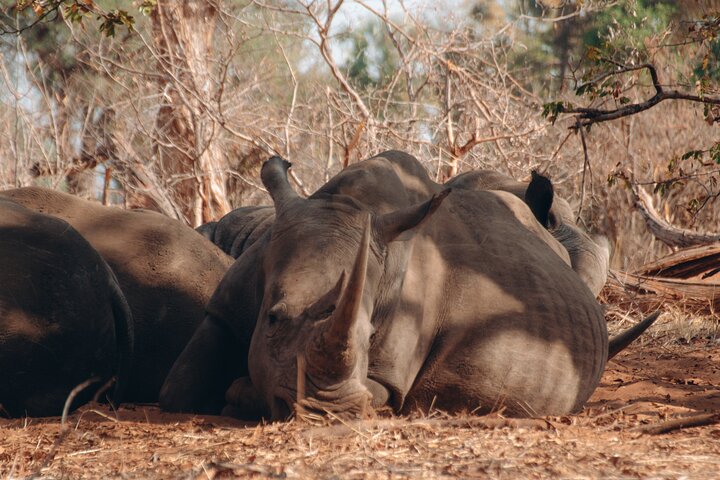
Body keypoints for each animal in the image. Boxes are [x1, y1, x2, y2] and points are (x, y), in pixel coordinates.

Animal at [161, 151, 657, 419]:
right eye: (272, 318)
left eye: (369, 335)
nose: (325, 412)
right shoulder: (226, 304)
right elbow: (177, 389)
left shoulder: (392, 365)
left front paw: (241, 394)